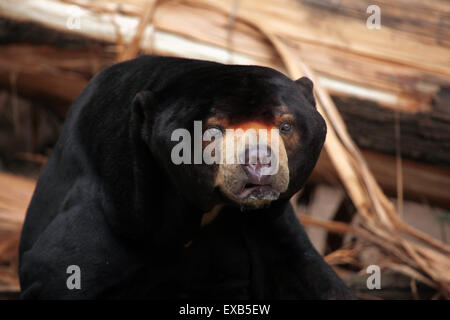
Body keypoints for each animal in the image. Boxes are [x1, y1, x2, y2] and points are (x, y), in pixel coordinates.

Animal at [18, 55, 356, 300]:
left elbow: (311, 277)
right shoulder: (117, 210)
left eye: (285, 126)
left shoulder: (268, 222)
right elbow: (59, 272)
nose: (259, 160)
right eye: (213, 131)